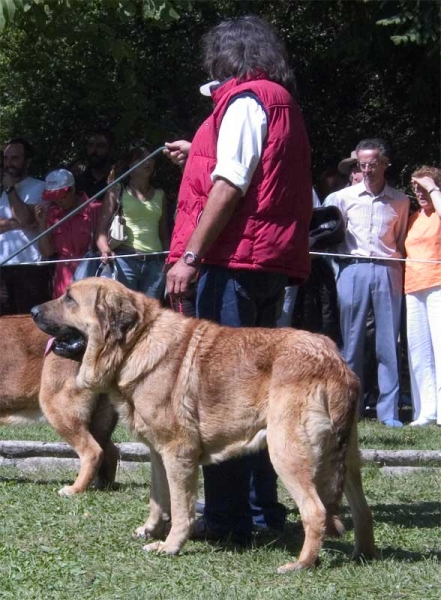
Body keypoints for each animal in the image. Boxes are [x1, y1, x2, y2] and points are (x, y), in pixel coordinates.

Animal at [0, 316, 117, 494]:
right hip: (97, 422)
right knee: (110, 450)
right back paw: (102, 485)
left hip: (59, 409)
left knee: (93, 452)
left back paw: (74, 490)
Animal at [31, 278, 374, 576]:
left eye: (70, 299)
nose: (33, 310)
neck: (135, 344)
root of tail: (334, 362)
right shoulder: (158, 455)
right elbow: (158, 499)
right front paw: (151, 531)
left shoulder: (179, 455)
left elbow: (180, 508)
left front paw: (170, 546)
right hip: (346, 462)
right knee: (363, 511)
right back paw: (363, 555)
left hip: (287, 456)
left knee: (315, 513)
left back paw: (301, 564)